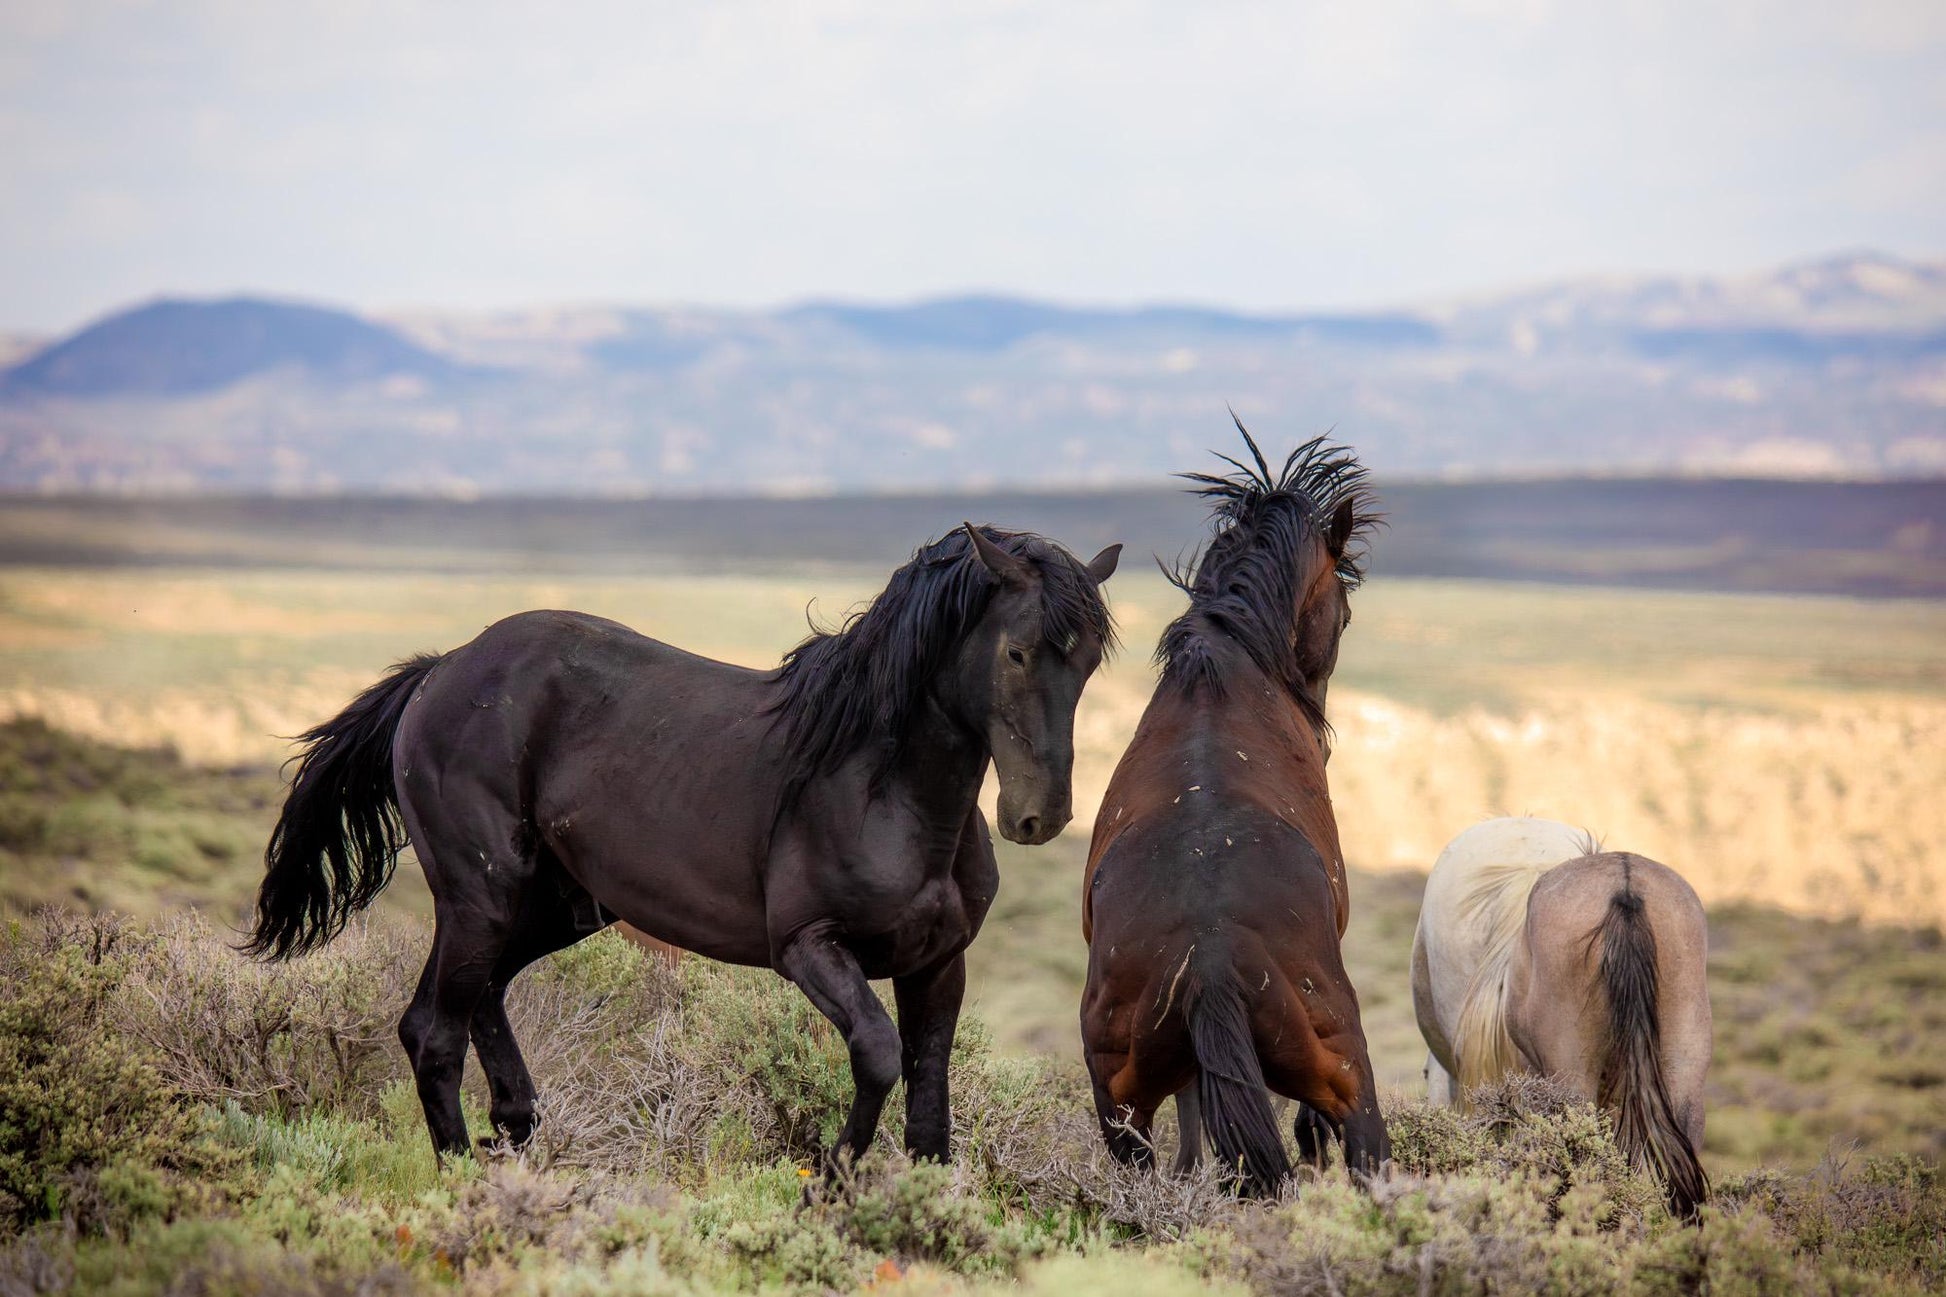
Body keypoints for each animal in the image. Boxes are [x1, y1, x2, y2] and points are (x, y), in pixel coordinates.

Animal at [249, 521, 1120, 1160]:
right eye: (1016, 651)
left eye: (1085, 666)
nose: (1039, 817)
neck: (883, 786)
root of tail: (440, 670)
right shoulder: (808, 946)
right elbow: (875, 1051)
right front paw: (832, 1176)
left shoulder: (938, 962)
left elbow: (930, 1100)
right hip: (480, 896)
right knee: (435, 1030)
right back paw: (468, 1174)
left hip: (558, 908)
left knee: (471, 1002)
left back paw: (519, 1132)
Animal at [1081, 428, 1385, 1199]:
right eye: (1343, 608)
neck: (1223, 666)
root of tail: (1211, 960)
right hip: (1347, 1072)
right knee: (1365, 1156)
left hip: (1121, 1107)